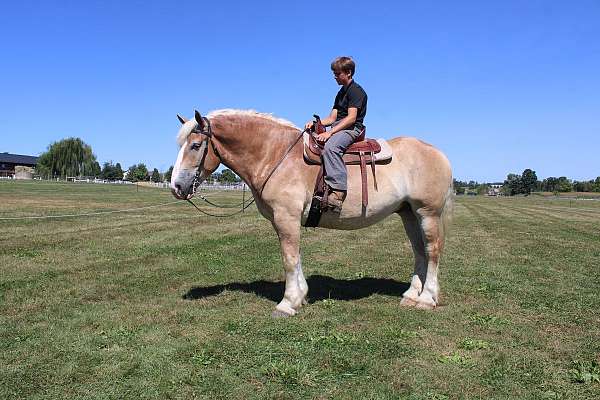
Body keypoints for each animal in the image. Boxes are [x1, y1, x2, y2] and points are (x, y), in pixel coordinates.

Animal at [171, 108, 452, 316]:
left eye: (195, 145)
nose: (176, 186)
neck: (276, 155)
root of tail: (438, 153)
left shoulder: (287, 217)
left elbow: (289, 258)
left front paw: (287, 303)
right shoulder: (284, 220)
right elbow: (296, 258)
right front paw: (300, 296)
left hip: (427, 213)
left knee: (432, 250)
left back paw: (427, 298)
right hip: (408, 213)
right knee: (419, 251)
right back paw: (411, 295)